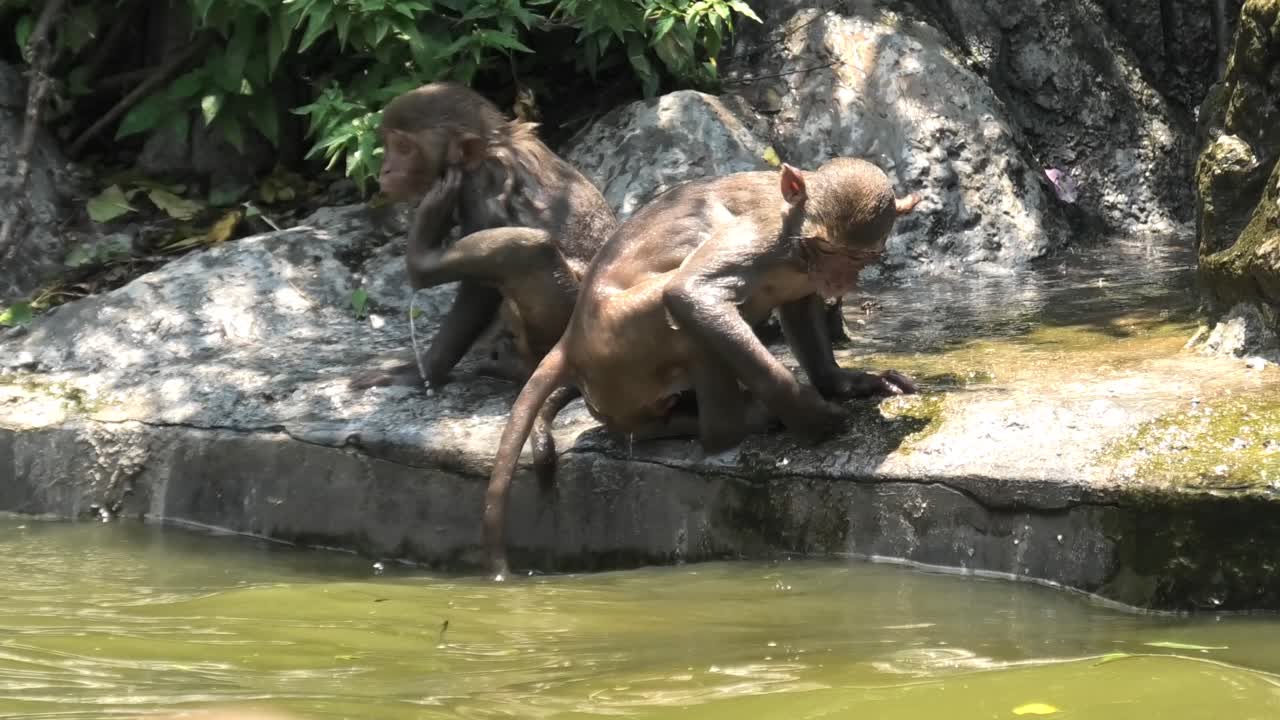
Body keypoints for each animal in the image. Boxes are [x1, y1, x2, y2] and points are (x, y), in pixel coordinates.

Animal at [351, 82, 618, 480]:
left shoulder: (481, 192)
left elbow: (478, 291)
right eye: (389, 144)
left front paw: (423, 372)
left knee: (530, 249)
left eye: (404, 147)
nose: (385, 169)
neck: (493, 145)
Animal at [480, 157, 922, 578]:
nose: (839, 280)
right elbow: (693, 292)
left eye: (860, 257)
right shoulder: (761, 237)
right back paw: (734, 424)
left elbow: (800, 306)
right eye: (827, 250)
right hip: (619, 342)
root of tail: (570, 341)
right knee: (686, 302)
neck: (795, 242)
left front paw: (844, 384)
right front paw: (812, 417)